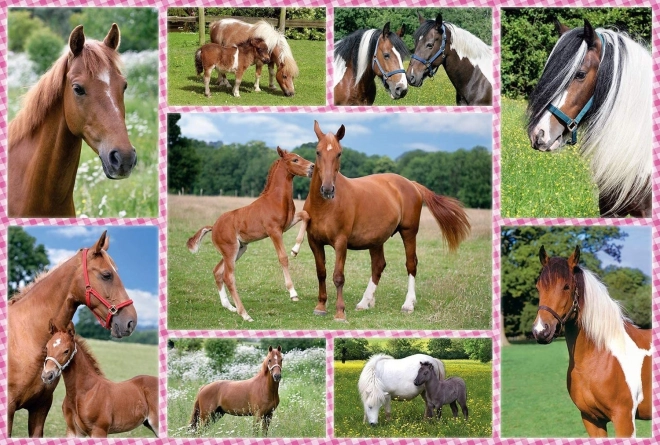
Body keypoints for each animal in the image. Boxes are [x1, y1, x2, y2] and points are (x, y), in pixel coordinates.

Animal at [186, 147, 314, 322]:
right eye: (295, 160)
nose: (313, 167)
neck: (276, 199)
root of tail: (214, 227)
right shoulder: (274, 231)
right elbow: (283, 258)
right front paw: (293, 293)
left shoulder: (287, 224)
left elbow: (306, 215)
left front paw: (295, 249)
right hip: (230, 250)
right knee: (228, 277)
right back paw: (245, 314)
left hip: (239, 249)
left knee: (217, 272)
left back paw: (230, 307)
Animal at [294, 121, 471, 321]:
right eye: (318, 152)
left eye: (339, 153)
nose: (327, 189)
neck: (325, 206)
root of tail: (411, 184)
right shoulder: (314, 242)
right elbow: (321, 273)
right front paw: (321, 306)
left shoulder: (341, 243)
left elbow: (338, 276)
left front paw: (340, 312)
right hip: (376, 240)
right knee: (378, 265)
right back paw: (365, 302)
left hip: (409, 232)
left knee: (411, 264)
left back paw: (408, 304)